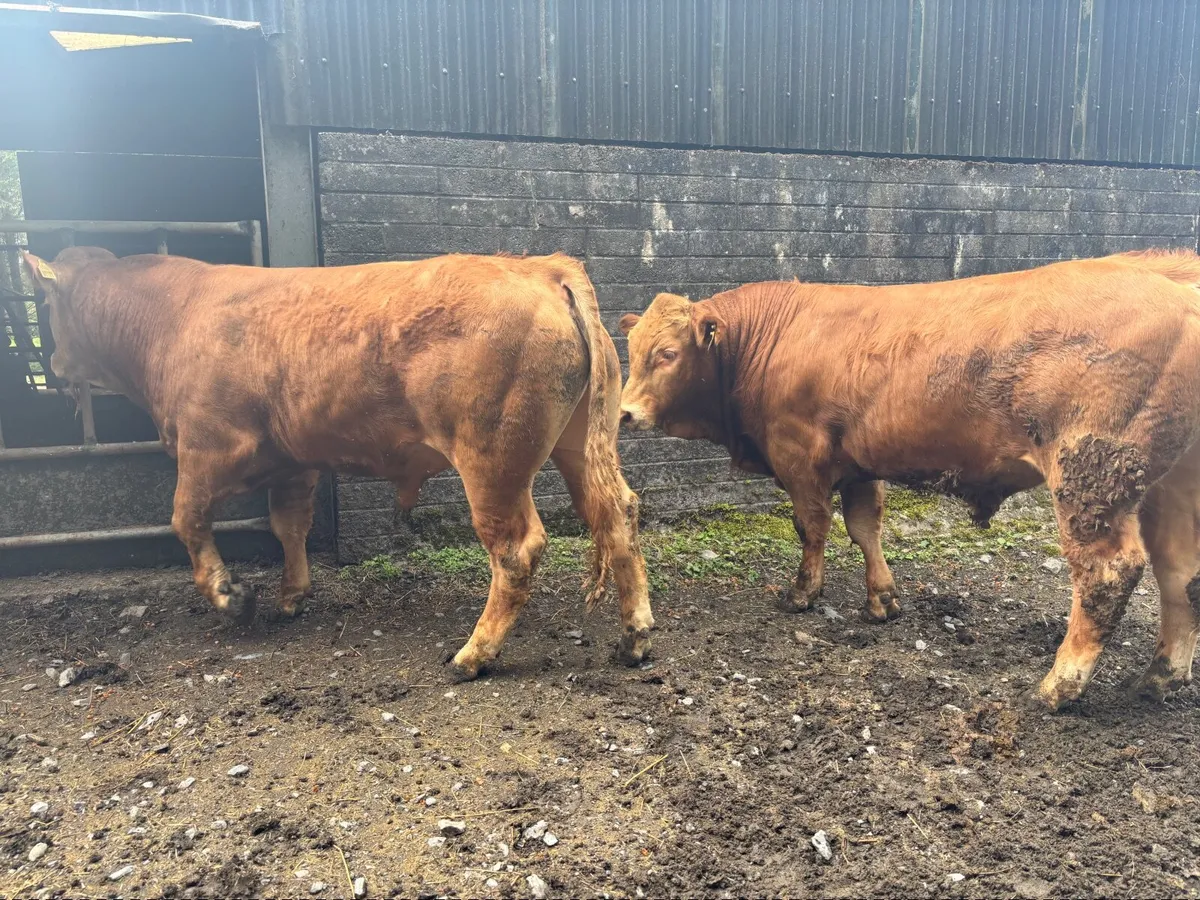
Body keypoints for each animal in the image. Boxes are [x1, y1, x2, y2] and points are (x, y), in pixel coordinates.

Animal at [21, 247, 654, 681]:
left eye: (47, 304)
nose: (52, 365)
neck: (173, 319)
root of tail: (543, 268)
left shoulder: (209, 444)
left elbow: (186, 520)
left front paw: (231, 596)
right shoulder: (294, 459)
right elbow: (288, 524)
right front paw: (291, 595)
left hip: (492, 460)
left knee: (517, 550)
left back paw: (472, 654)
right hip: (579, 445)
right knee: (618, 514)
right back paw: (635, 637)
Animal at [617, 250, 1200, 711]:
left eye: (667, 353)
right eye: (632, 349)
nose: (623, 413)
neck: (770, 340)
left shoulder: (799, 457)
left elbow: (813, 528)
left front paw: (802, 593)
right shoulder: (857, 464)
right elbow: (864, 528)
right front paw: (882, 600)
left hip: (1091, 477)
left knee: (1107, 573)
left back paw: (1058, 686)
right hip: (1172, 485)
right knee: (1180, 571)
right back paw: (1159, 678)